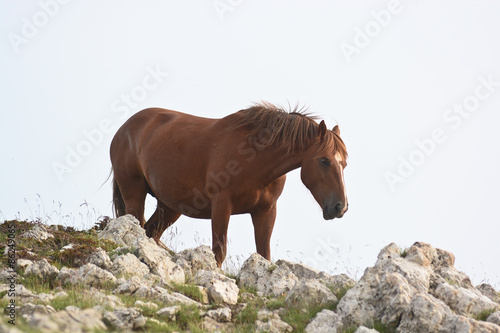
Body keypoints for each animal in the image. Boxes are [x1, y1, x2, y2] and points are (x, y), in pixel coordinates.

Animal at [110, 102, 348, 266]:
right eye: (324, 160)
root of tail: (123, 129)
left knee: (151, 232)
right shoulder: (221, 206)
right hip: (134, 194)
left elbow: (264, 255)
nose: (340, 207)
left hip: (169, 207)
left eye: (344, 163)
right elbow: (219, 252)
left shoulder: (266, 211)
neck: (255, 157)